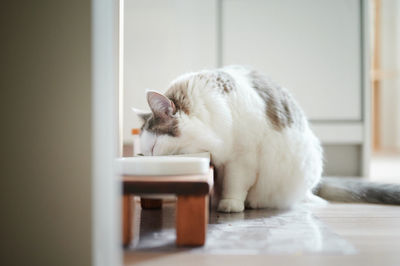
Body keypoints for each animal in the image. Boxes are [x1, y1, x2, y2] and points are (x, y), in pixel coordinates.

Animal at [133, 65, 400, 212]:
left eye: (154, 147)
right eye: (141, 154)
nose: (147, 161)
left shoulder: (241, 158)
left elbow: (235, 184)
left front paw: (230, 204)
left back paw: (256, 203)